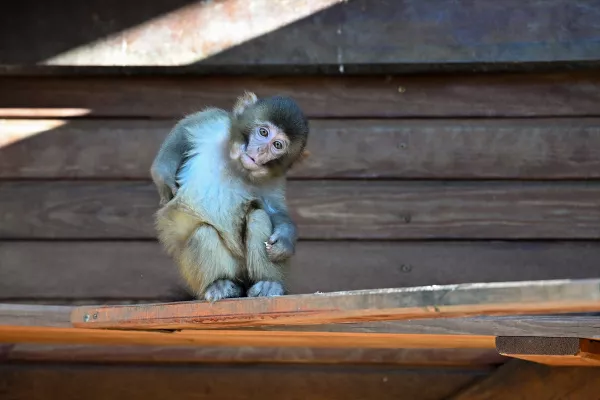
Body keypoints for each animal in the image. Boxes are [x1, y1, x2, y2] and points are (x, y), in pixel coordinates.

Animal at [150, 92, 310, 302]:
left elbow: (274, 210)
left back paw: (268, 284)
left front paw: (284, 239)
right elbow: (184, 129)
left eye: (277, 145)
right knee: (203, 232)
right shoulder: (215, 124)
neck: (237, 165)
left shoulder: (273, 181)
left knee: (258, 217)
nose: (260, 151)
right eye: (263, 132)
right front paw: (163, 174)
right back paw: (219, 284)